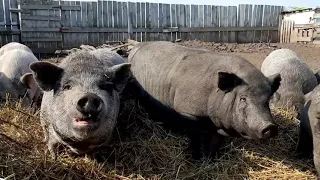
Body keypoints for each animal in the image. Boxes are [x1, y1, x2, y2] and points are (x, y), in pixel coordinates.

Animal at [129, 41, 282, 160]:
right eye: (243, 98)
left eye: (268, 99)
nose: (270, 126)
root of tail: (137, 48)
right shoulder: (188, 113)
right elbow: (195, 137)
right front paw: (194, 158)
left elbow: (216, 142)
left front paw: (212, 158)